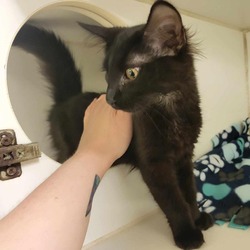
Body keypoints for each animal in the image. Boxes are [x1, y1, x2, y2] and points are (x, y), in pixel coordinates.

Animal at [13, 1, 213, 248]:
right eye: (108, 75)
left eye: (131, 73)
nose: (109, 98)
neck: (171, 110)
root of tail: (66, 100)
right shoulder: (154, 163)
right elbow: (173, 200)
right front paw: (187, 234)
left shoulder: (184, 155)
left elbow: (189, 192)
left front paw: (197, 218)